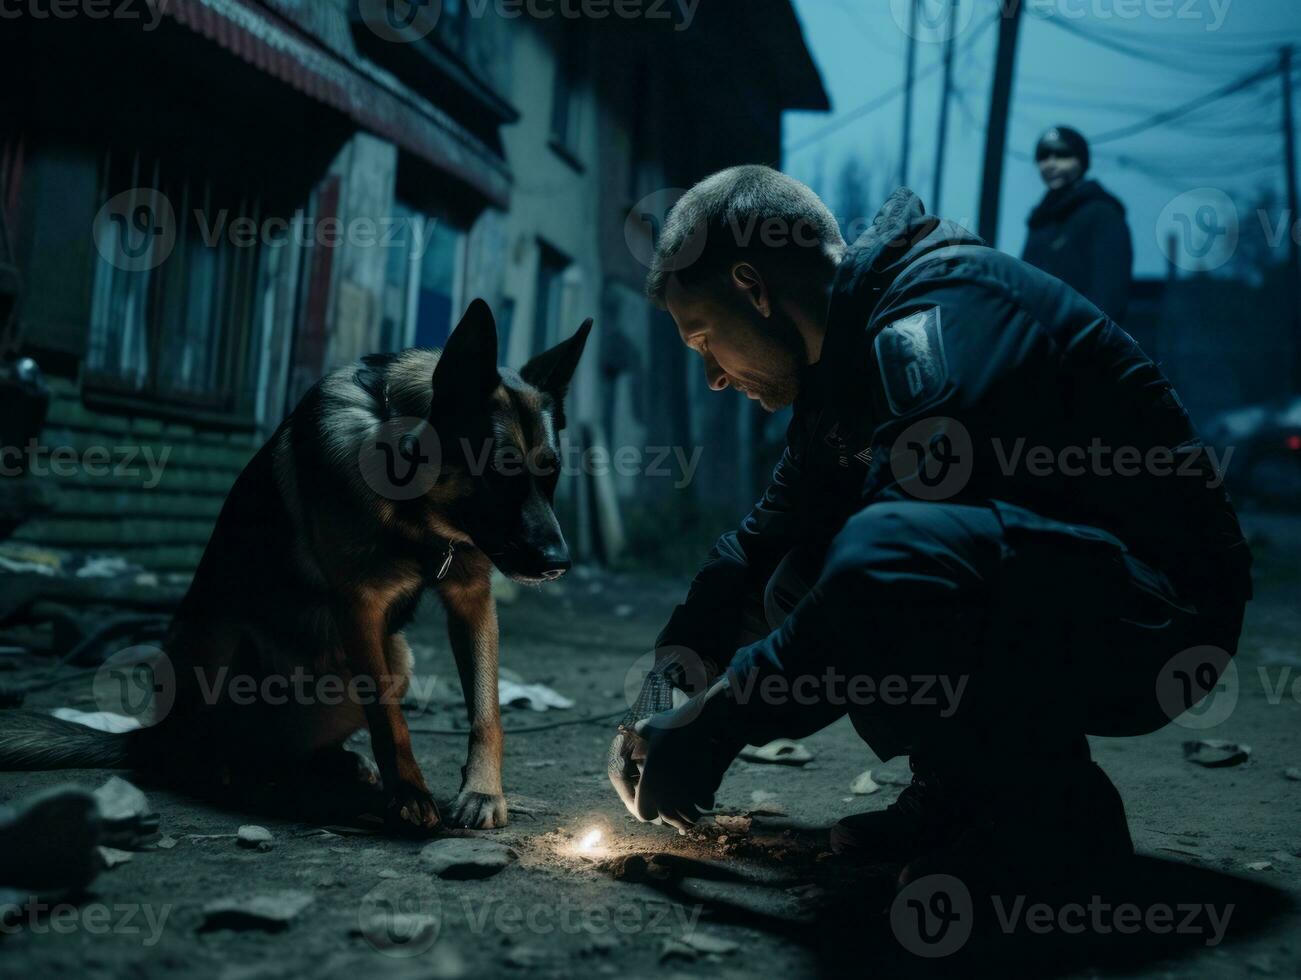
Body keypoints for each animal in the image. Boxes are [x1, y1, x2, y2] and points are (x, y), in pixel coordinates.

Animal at [0, 300, 595, 832]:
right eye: (499, 473)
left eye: (550, 476)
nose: (558, 565)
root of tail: (150, 738)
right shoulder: (360, 608)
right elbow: (390, 720)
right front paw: (408, 794)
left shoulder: (471, 599)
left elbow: (487, 711)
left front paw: (482, 792)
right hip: (224, 644)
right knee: (221, 746)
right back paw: (235, 772)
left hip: (395, 655)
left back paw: (330, 765)